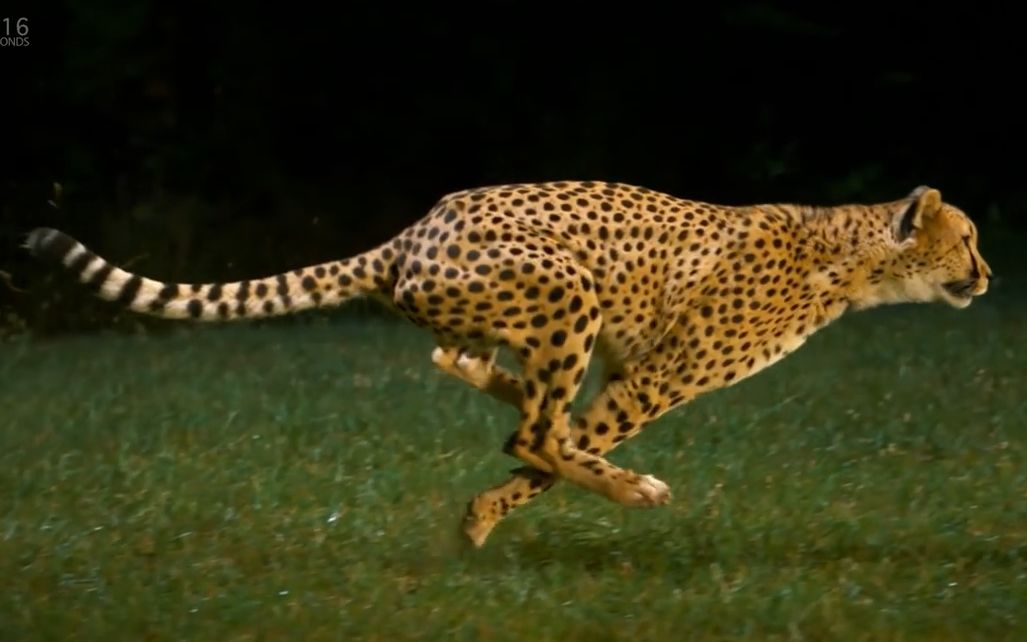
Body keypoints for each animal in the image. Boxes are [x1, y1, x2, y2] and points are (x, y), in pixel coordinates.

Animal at [24, 180, 991, 548]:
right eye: (968, 240)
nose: (988, 275)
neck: (853, 257)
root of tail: (413, 228)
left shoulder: (633, 370)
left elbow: (547, 444)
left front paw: (482, 515)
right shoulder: (656, 377)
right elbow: (547, 452)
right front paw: (491, 515)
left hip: (517, 310)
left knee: (463, 361)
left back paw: (513, 390)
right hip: (565, 288)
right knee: (531, 425)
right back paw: (612, 475)